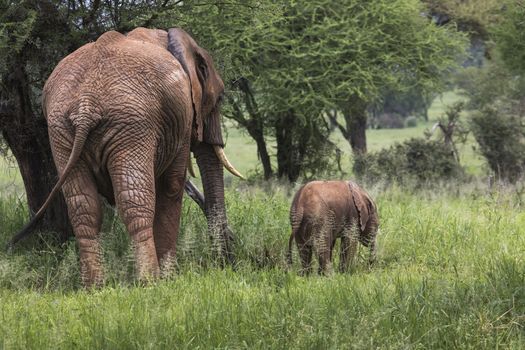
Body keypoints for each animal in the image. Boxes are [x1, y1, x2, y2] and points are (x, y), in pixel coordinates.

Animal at [7, 28, 243, 288]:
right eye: (220, 99)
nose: (226, 264)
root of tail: (87, 103)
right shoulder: (180, 117)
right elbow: (172, 185)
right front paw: (170, 278)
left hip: (62, 130)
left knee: (84, 207)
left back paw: (94, 286)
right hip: (132, 125)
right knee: (134, 200)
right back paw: (149, 281)